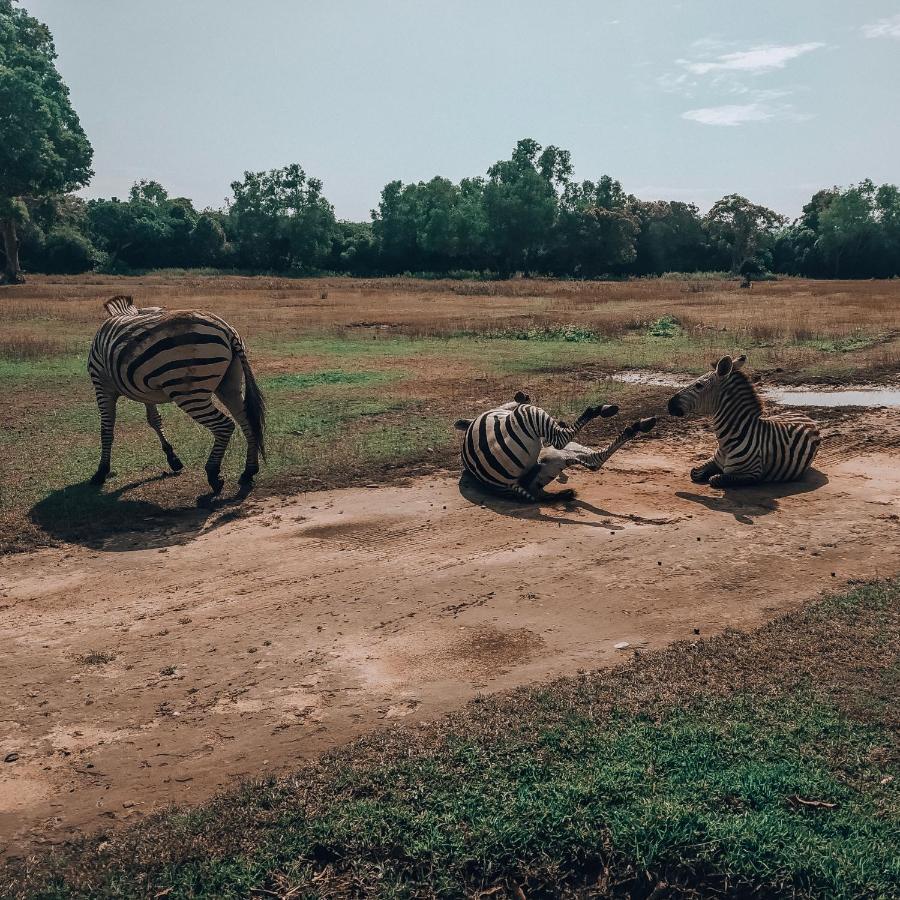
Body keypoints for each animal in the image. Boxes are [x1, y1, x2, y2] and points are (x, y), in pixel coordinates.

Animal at [86, 296, 266, 492]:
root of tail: (226, 330)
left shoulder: (102, 384)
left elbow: (106, 428)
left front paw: (101, 471)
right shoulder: (146, 393)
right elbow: (155, 420)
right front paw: (173, 459)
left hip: (189, 393)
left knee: (224, 425)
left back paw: (213, 475)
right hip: (229, 385)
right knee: (247, 422)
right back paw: (249, 472)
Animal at [458, 392, 652, 502]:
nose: (524, 395)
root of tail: (508, 484)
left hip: (552, 461)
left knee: (594, 461)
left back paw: (638, 426)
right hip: (531, 420)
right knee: (561, 439)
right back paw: (602, 410)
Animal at [664, 356, 820, 488]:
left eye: (699, 385)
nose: (670, 404)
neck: (726, 442)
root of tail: (803, 414)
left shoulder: (752, 474)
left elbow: (715, 479)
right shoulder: (715, 460)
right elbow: (694, 472)